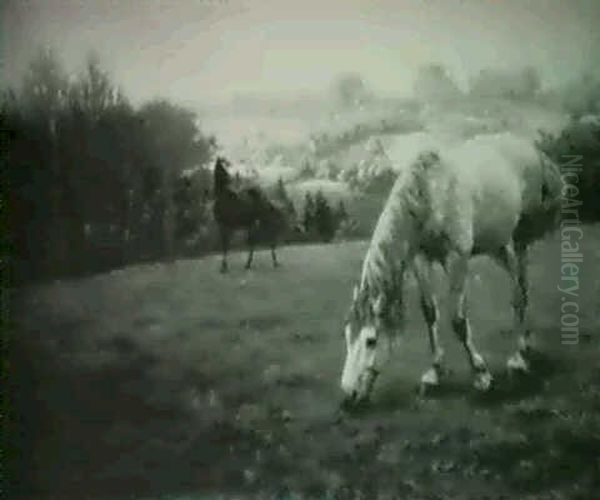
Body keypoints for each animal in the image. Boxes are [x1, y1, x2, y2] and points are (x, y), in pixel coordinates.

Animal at [342, 134, 564, 406]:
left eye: (371, 341)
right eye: (347, 336)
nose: (348, 395)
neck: (430, 194)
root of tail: (530, 148)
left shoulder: (457, 258)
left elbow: (457, 320)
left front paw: (481, 375)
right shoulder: (421, 258)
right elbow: (429, 312)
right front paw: (434, 373)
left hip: (519, 239)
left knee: (519, 291)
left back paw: (518, 359)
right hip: (498, 246)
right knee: (521, 284)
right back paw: (524, 347)